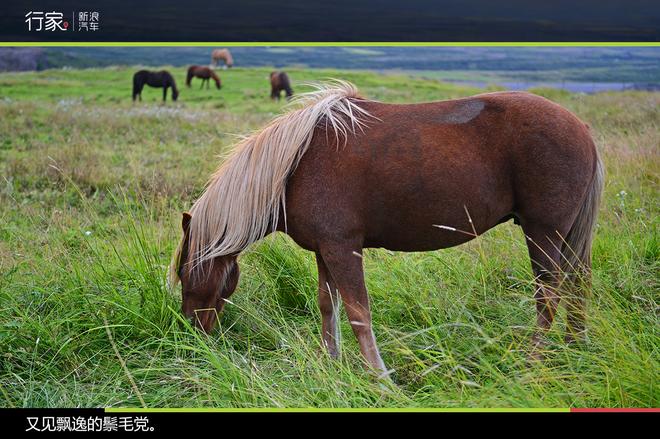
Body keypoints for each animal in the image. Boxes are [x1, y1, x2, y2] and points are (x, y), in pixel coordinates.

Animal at [170, 82, 604, 378]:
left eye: (184, 273)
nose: (191, 331)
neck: (293, 167)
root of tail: (581, 127)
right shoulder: (325, 251)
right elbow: (328, 308)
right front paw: (332, 367)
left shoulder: (344, 249)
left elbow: (359, 314)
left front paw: (379, 380)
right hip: (566, 237)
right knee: (577, 287)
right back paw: (574, 348)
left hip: (543, 233)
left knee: (549, 298)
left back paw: (532, 364)